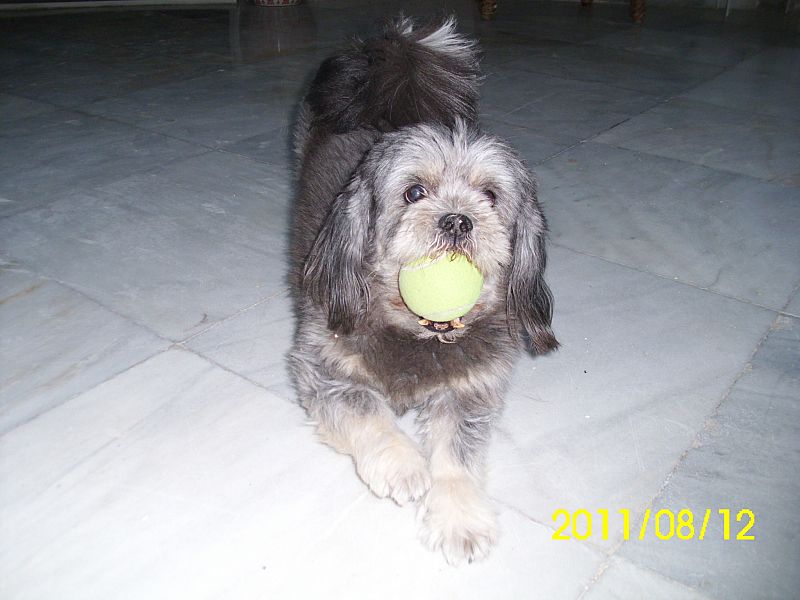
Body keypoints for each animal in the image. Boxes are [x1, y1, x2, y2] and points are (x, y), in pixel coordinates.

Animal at [288, 16, 556, 564]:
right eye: (414, 192)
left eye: (490, 196)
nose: (457, 220)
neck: (419, 332)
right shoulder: (322, 369)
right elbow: (367, 409)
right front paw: (403, 463)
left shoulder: (469, 392)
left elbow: (456, 454)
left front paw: (459, 517)